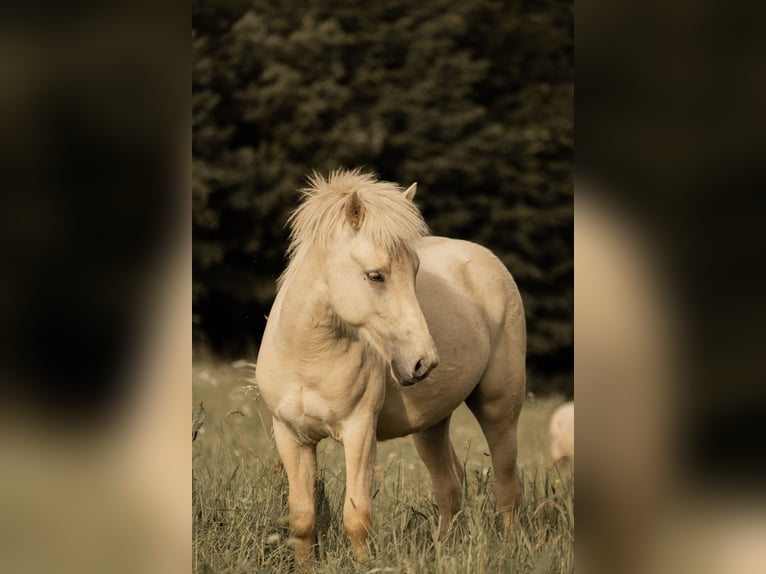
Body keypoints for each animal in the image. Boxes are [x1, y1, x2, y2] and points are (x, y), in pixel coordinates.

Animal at [255, 169, 524, 564]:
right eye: (375, 275)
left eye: (414, 272)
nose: (422, 362)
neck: (308, 357)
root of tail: (486, 258)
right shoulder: (291, 435)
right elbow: (302, 517)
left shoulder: (359, 432)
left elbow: (357, 517)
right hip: (430, 425)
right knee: (449, 488)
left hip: (499, 408)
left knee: (506, 488)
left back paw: (509, 547)